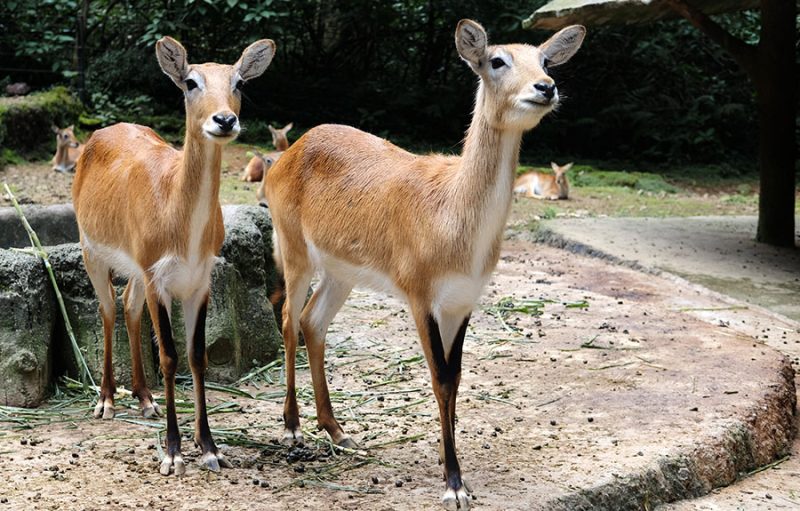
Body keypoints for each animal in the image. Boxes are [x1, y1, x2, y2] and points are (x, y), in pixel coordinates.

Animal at [71, 36, 276, 476]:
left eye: (238, 82)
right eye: (190, 81)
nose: (224, 120)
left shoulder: (198, 280)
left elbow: (198, 356)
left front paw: (210, 448)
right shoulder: (157, 278)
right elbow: (168, 355)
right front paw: (172, 453)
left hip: (134, 267)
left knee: (128, 305)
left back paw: (144, 399)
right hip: (91, 248)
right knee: (107, 308)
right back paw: (106, 400)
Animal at [266, 18, 584, 510]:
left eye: (546, 60)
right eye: (497, 60)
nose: (545, 88)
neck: (452, 217)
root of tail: (291, 151)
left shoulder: (462, 300)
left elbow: (456, 377)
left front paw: (451, 466)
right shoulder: (420, 296)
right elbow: (439, 377)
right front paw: (454, 484)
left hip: (342, 272)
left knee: (312, 321)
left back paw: (338, 431)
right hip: (295, 249)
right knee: (287, 317)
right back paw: (293, 427)